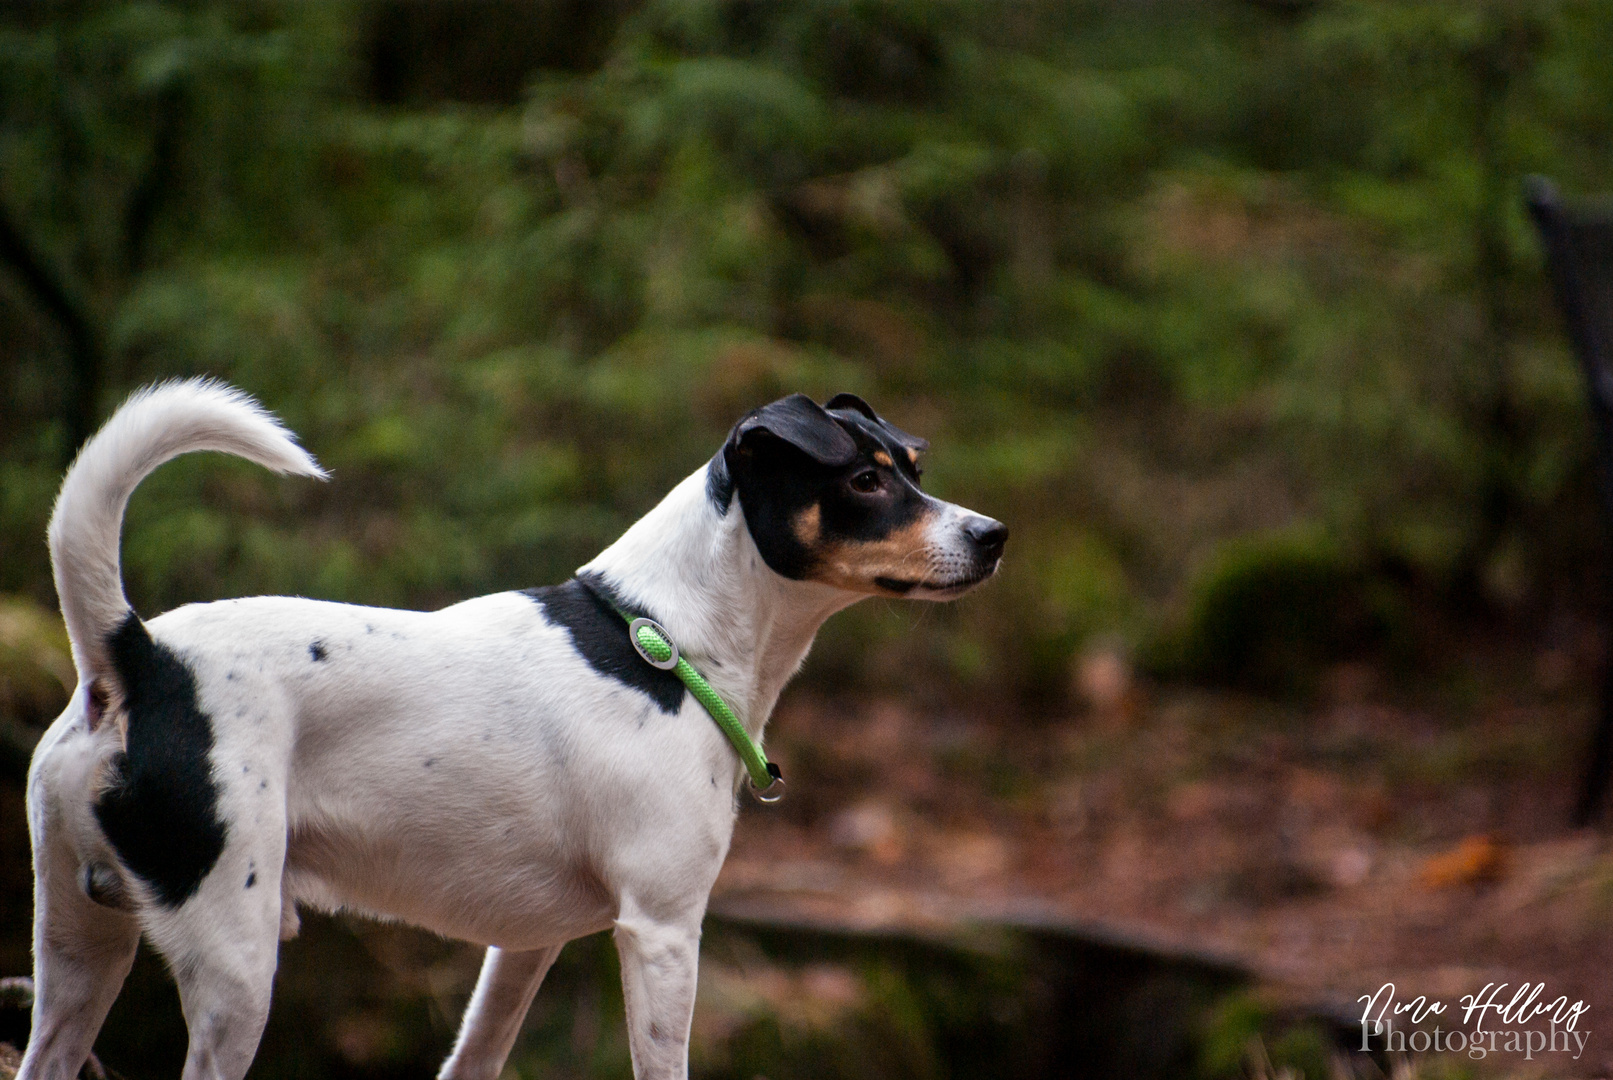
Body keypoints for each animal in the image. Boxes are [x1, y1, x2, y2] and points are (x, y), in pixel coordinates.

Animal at [22, 377, 1006, 1076]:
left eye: (912, 469)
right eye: (865, 480)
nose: (992, 533)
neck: (668, 639)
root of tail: (136, 657)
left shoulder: (522, 948)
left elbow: (474, 1059)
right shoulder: (661, 931)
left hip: (76, 950)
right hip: (232, 964)